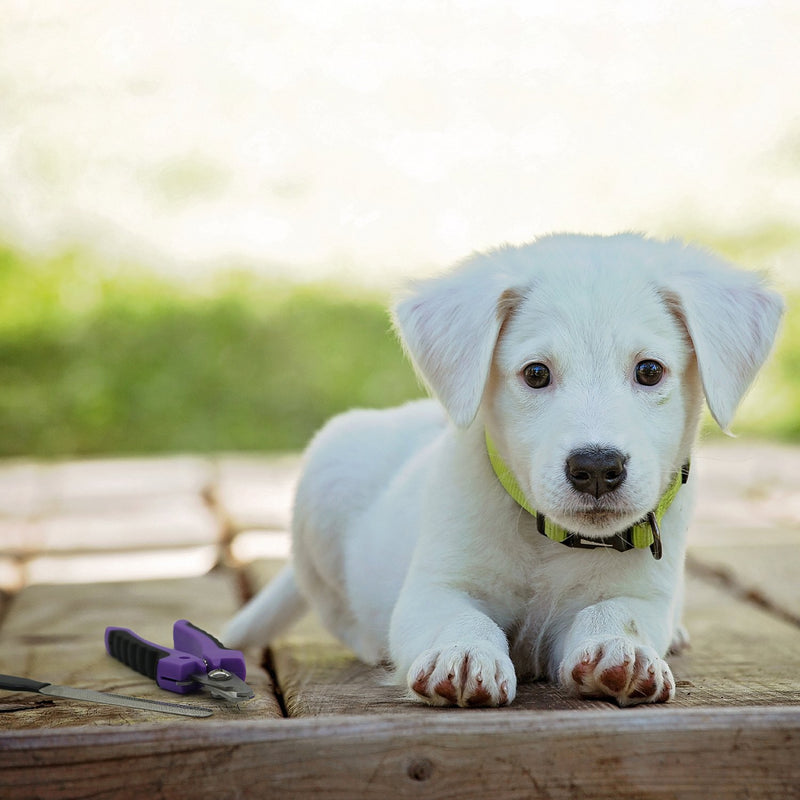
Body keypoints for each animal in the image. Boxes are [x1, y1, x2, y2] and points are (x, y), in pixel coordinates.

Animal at [225, 234, 780, 708]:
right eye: (536, 374)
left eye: (649, 371)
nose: (597, 468)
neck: (549, 541)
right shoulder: (435, 588)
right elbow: (461, 618)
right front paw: (464, 654)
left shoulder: (642, 594)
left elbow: (616, 613)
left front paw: (620, 651)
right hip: (326, 478)